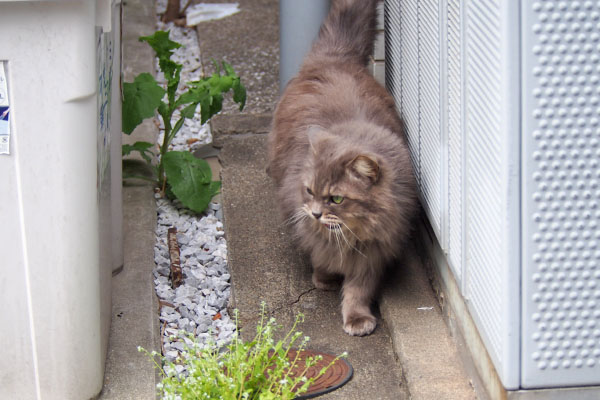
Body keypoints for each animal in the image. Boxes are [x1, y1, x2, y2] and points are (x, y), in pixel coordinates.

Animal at [268, 0, 418, 336]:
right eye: (310, 191)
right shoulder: (313, 229)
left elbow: (359, 291)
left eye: (336, 198)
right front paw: (324, 278)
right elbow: (320, 254)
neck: (352, 234)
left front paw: (357, 319)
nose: (315, 213)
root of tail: (336, 57)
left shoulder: (373, 254)